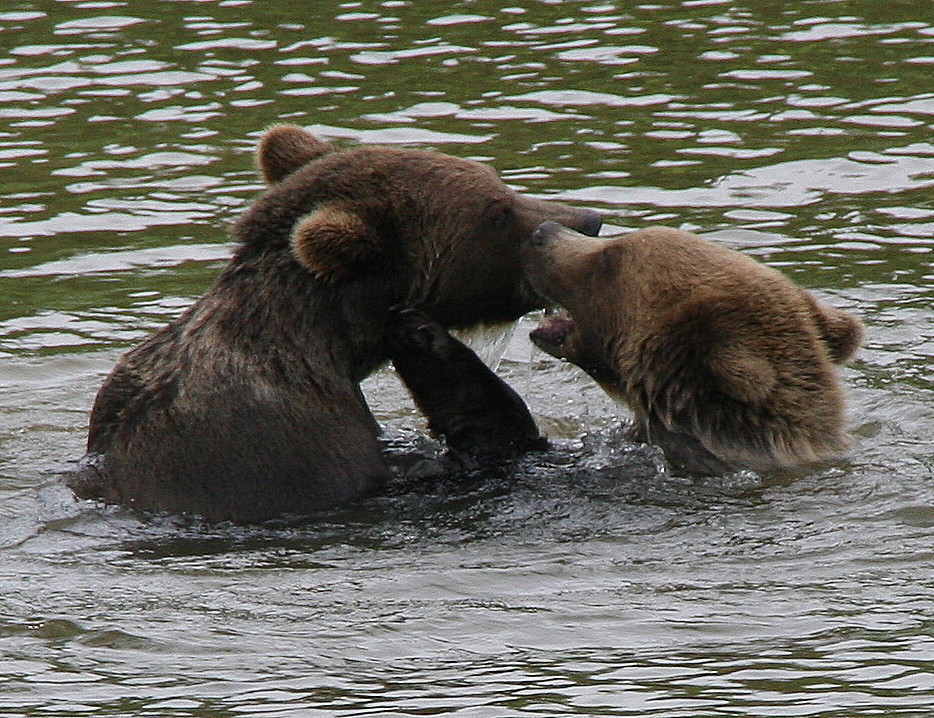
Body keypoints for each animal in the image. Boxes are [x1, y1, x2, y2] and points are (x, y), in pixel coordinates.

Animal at [71, 125, 600, 524]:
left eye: (498, 182)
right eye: (497, 211)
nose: (588, 218)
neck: (327, 346)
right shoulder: (290, 452)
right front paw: (422, 340)